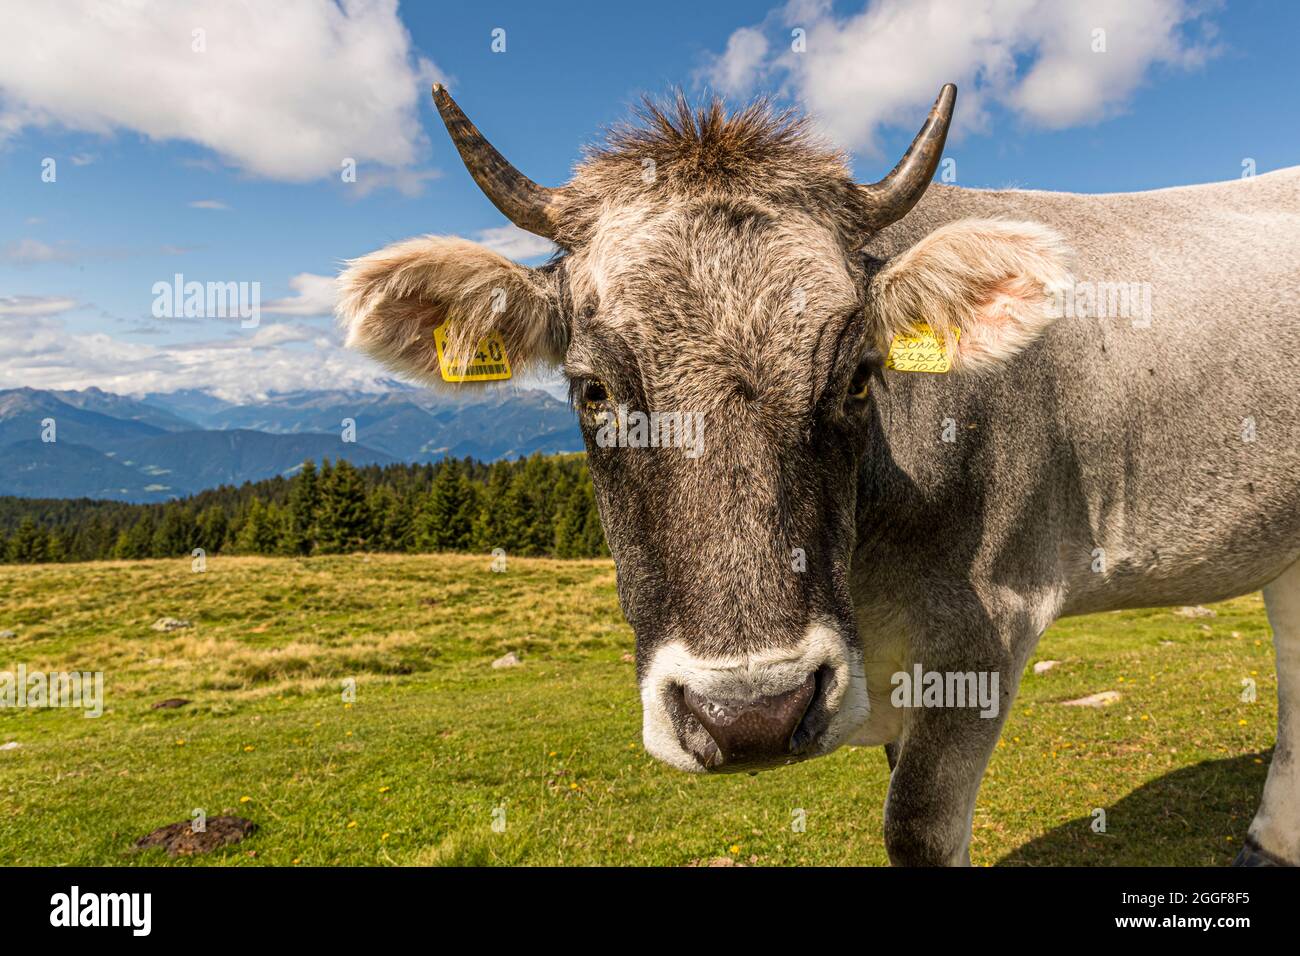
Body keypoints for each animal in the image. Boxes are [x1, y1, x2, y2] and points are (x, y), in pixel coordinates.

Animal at [340, 83, 1300, 868]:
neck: (868, 575)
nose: (750, 715)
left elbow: (915, 828)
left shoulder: (990, 623)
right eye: (593, 388)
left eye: (856, 377)